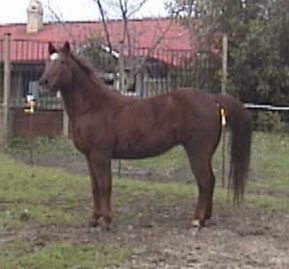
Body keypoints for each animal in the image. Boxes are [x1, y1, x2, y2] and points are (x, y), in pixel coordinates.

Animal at [38, 41, 252, 228]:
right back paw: (205, 217)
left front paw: (107, 221)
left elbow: (105, 186)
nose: (43, 82)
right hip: (204, 154)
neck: (94, 106)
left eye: (62, 62)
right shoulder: (90, 157)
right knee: (211, 181)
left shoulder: (101, 156)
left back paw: (197, 220)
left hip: (197, 153)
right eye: (47, 62)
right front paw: (94, 219)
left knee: (205, 181)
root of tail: (213, 99)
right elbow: (95, 188)